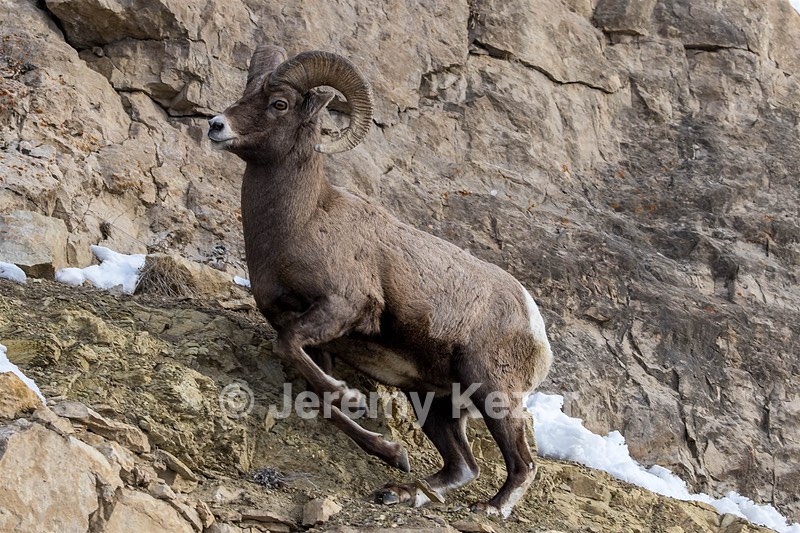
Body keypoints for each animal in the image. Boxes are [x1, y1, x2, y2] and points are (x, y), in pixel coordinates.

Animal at [208, 44, 553, 518]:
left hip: (492, 390)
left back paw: (491, 508)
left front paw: (351, 396)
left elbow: (292, 352)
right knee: (462, 467)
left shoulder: (342, 307)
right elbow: (318, 397)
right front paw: (391, 450)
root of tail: (535, 325)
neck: (301, 221)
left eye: (279, 104)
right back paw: (400, 491)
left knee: (522, 464)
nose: (215, 125)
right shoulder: (320, 339)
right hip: (436, 404)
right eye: (246, 94)